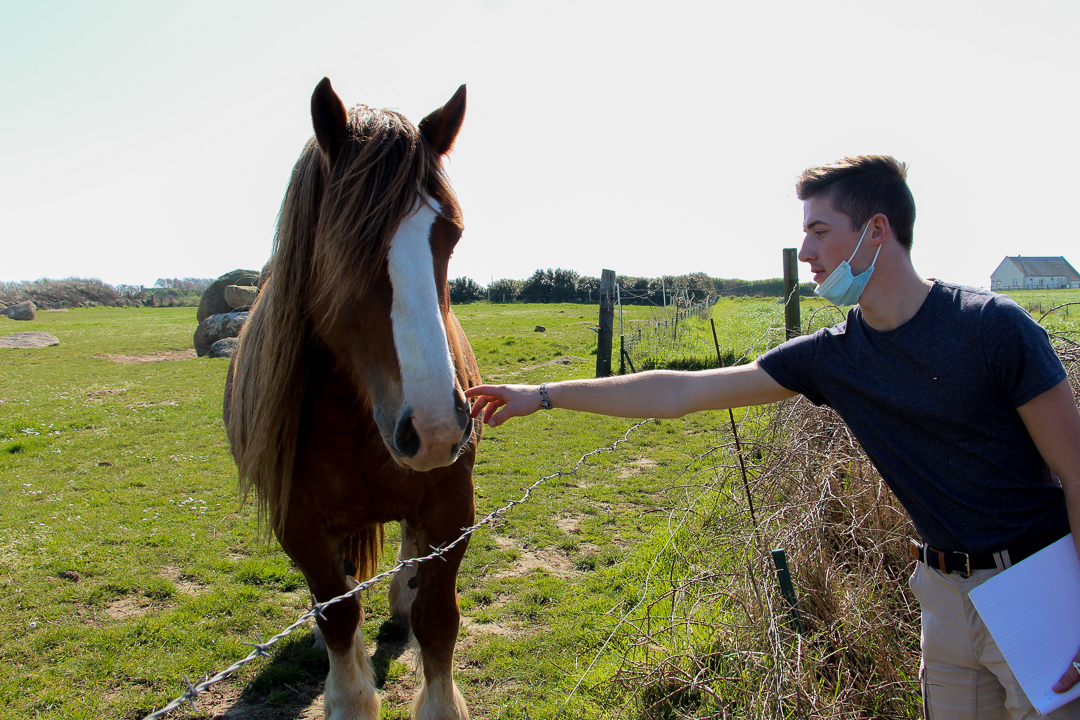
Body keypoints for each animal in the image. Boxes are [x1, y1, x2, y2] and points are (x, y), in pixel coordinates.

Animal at [224, 78, 481, 720]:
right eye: (341, 245)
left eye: (451, 235)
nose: (436, 427)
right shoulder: (297, 521)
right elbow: (339, 613)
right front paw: (349, 696)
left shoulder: (451, 503)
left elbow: (437, 620)